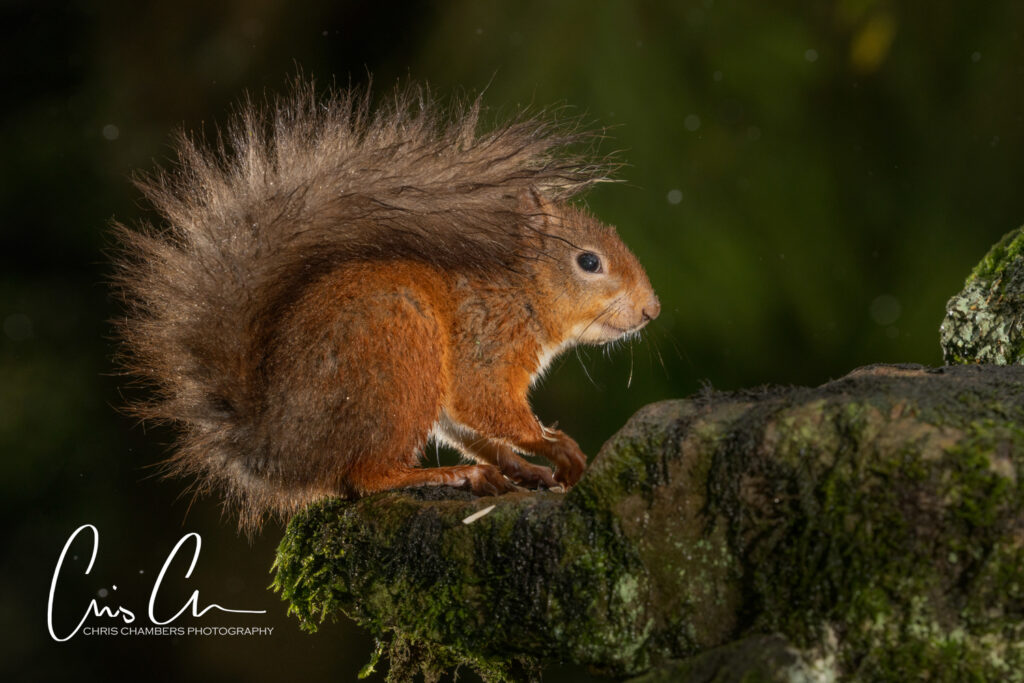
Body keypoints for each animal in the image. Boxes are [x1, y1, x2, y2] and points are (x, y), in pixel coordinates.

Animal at [112, 81, 660, 533]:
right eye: (588, 261)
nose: (652, 310)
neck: (519, 291)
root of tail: (277, 446)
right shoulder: (485, 345)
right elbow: (486, 406)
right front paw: (553, 445)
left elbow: (470, 425)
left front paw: (527, 467)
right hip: (396, 357)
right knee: (366, 477)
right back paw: (455, 475)